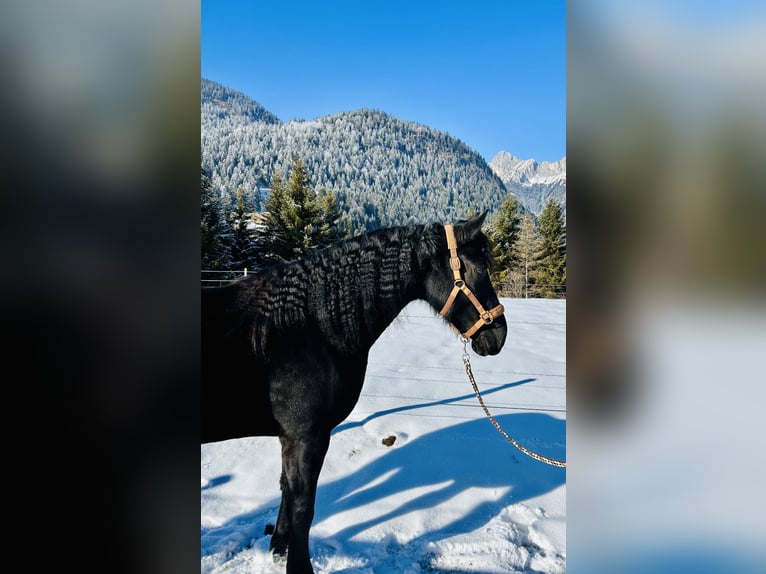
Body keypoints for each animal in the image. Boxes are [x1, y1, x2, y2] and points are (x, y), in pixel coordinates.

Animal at [201, 213, 508, 574]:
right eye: (475, 269)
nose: (499, 337)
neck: (309, 325)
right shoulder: (307, 437)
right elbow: (303, 507)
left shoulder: (291, 437)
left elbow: (286, 490)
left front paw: (278, 547)